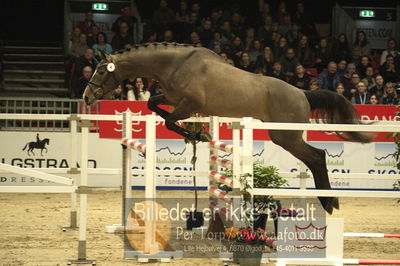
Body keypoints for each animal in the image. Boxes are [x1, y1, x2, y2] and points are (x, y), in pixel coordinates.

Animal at [83, 43, 374, 214]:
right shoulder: (173, 100)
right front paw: (199, 134)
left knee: (317, 156)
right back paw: (329, 200)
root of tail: (303, 93)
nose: (86, 97)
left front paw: (198, 134)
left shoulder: (189, 104)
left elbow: (169, 121)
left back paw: (329, 201)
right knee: (315, 158)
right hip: (284, 136)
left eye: (101, 71)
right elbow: (154, 105)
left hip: (285, 136)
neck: (175, 64)